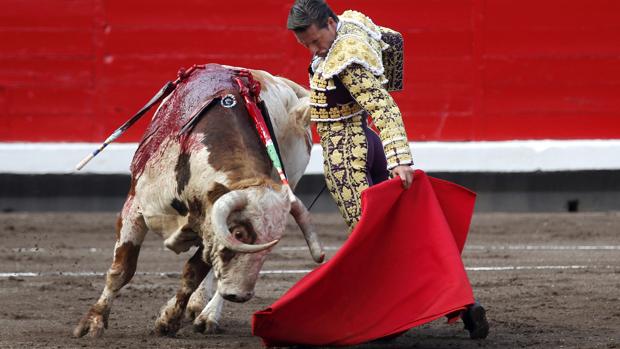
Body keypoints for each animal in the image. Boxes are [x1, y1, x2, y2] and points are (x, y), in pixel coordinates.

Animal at [72, 63, 322, 338]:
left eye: (272, 245)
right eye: (239, 233)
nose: (240, 295)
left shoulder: (208, 220)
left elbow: (193, 272)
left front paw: (169, 320)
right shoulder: (135, 208)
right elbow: (122, 269)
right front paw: (93, 323)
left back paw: (207, 315)